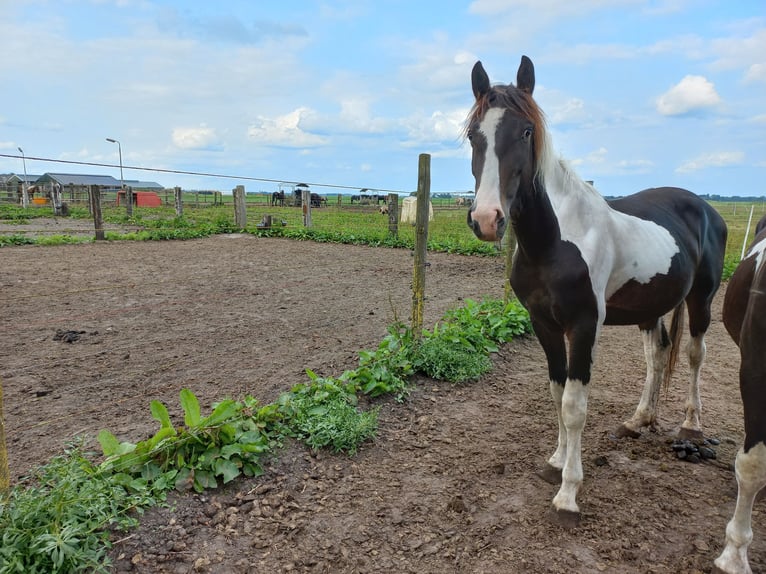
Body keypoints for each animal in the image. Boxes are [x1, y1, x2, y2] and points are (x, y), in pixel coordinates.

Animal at [464, 56, 728, 524]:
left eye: (526, 131)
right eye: (474, 134)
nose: (487, 219)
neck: (554, 241)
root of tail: (703, 207)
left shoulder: (585, 325)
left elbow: (574, 405)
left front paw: (569, 492)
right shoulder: (544, 324)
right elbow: (557, 394)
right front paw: (555, 462)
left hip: (702, 300)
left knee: (695, 355)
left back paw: (690, 426)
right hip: (650, 308)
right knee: (657, 355)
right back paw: (639, 420)